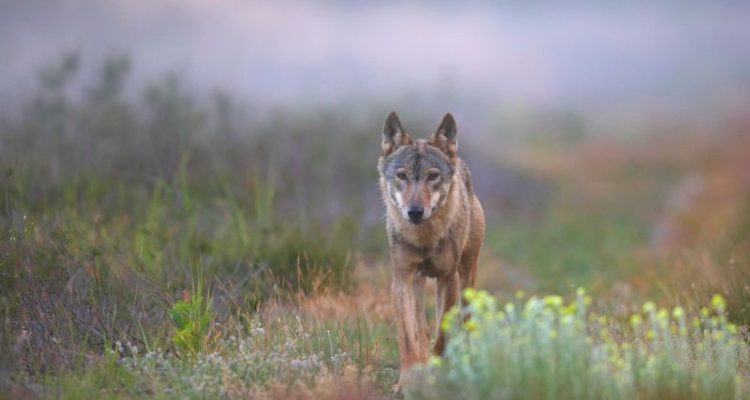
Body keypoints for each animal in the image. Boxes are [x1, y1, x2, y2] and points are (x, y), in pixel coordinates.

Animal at [377, 112, 485, 391]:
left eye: (432, 176)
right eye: (402, 176)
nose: (415, 212)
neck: (424, 238)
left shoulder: (447, 279)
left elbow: (443, 334)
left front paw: (437, 372)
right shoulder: (401, 281)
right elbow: (409, 338)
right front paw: (406, 383)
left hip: (467, 277)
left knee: (461, 323)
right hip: (418, 283)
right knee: (422, 331)